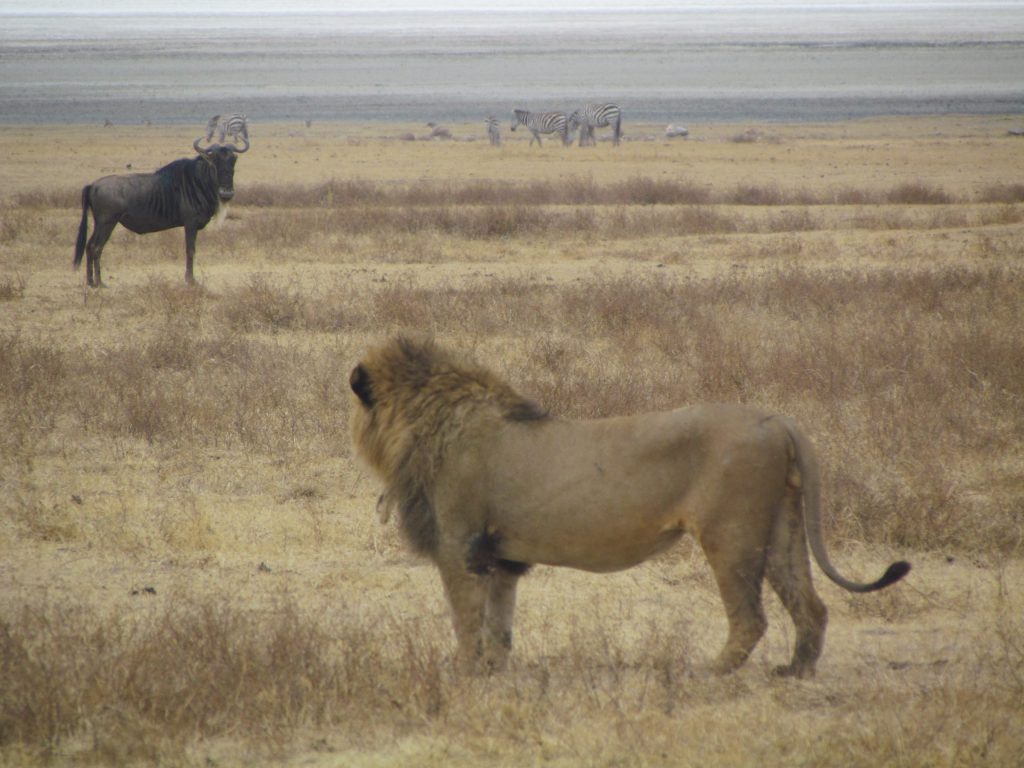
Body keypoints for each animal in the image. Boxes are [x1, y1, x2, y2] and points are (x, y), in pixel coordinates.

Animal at [349, 335, 910, 678]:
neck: (425, 421)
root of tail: (778, 420)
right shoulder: (502, 558)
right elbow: (499, 626)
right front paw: (495, 671)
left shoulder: (460, 547)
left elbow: (466, 620)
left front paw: (463, 674)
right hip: (781, 530)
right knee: (811, 605)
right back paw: (795, 671)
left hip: (731, 534)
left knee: (750, 618)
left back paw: (709, 672)